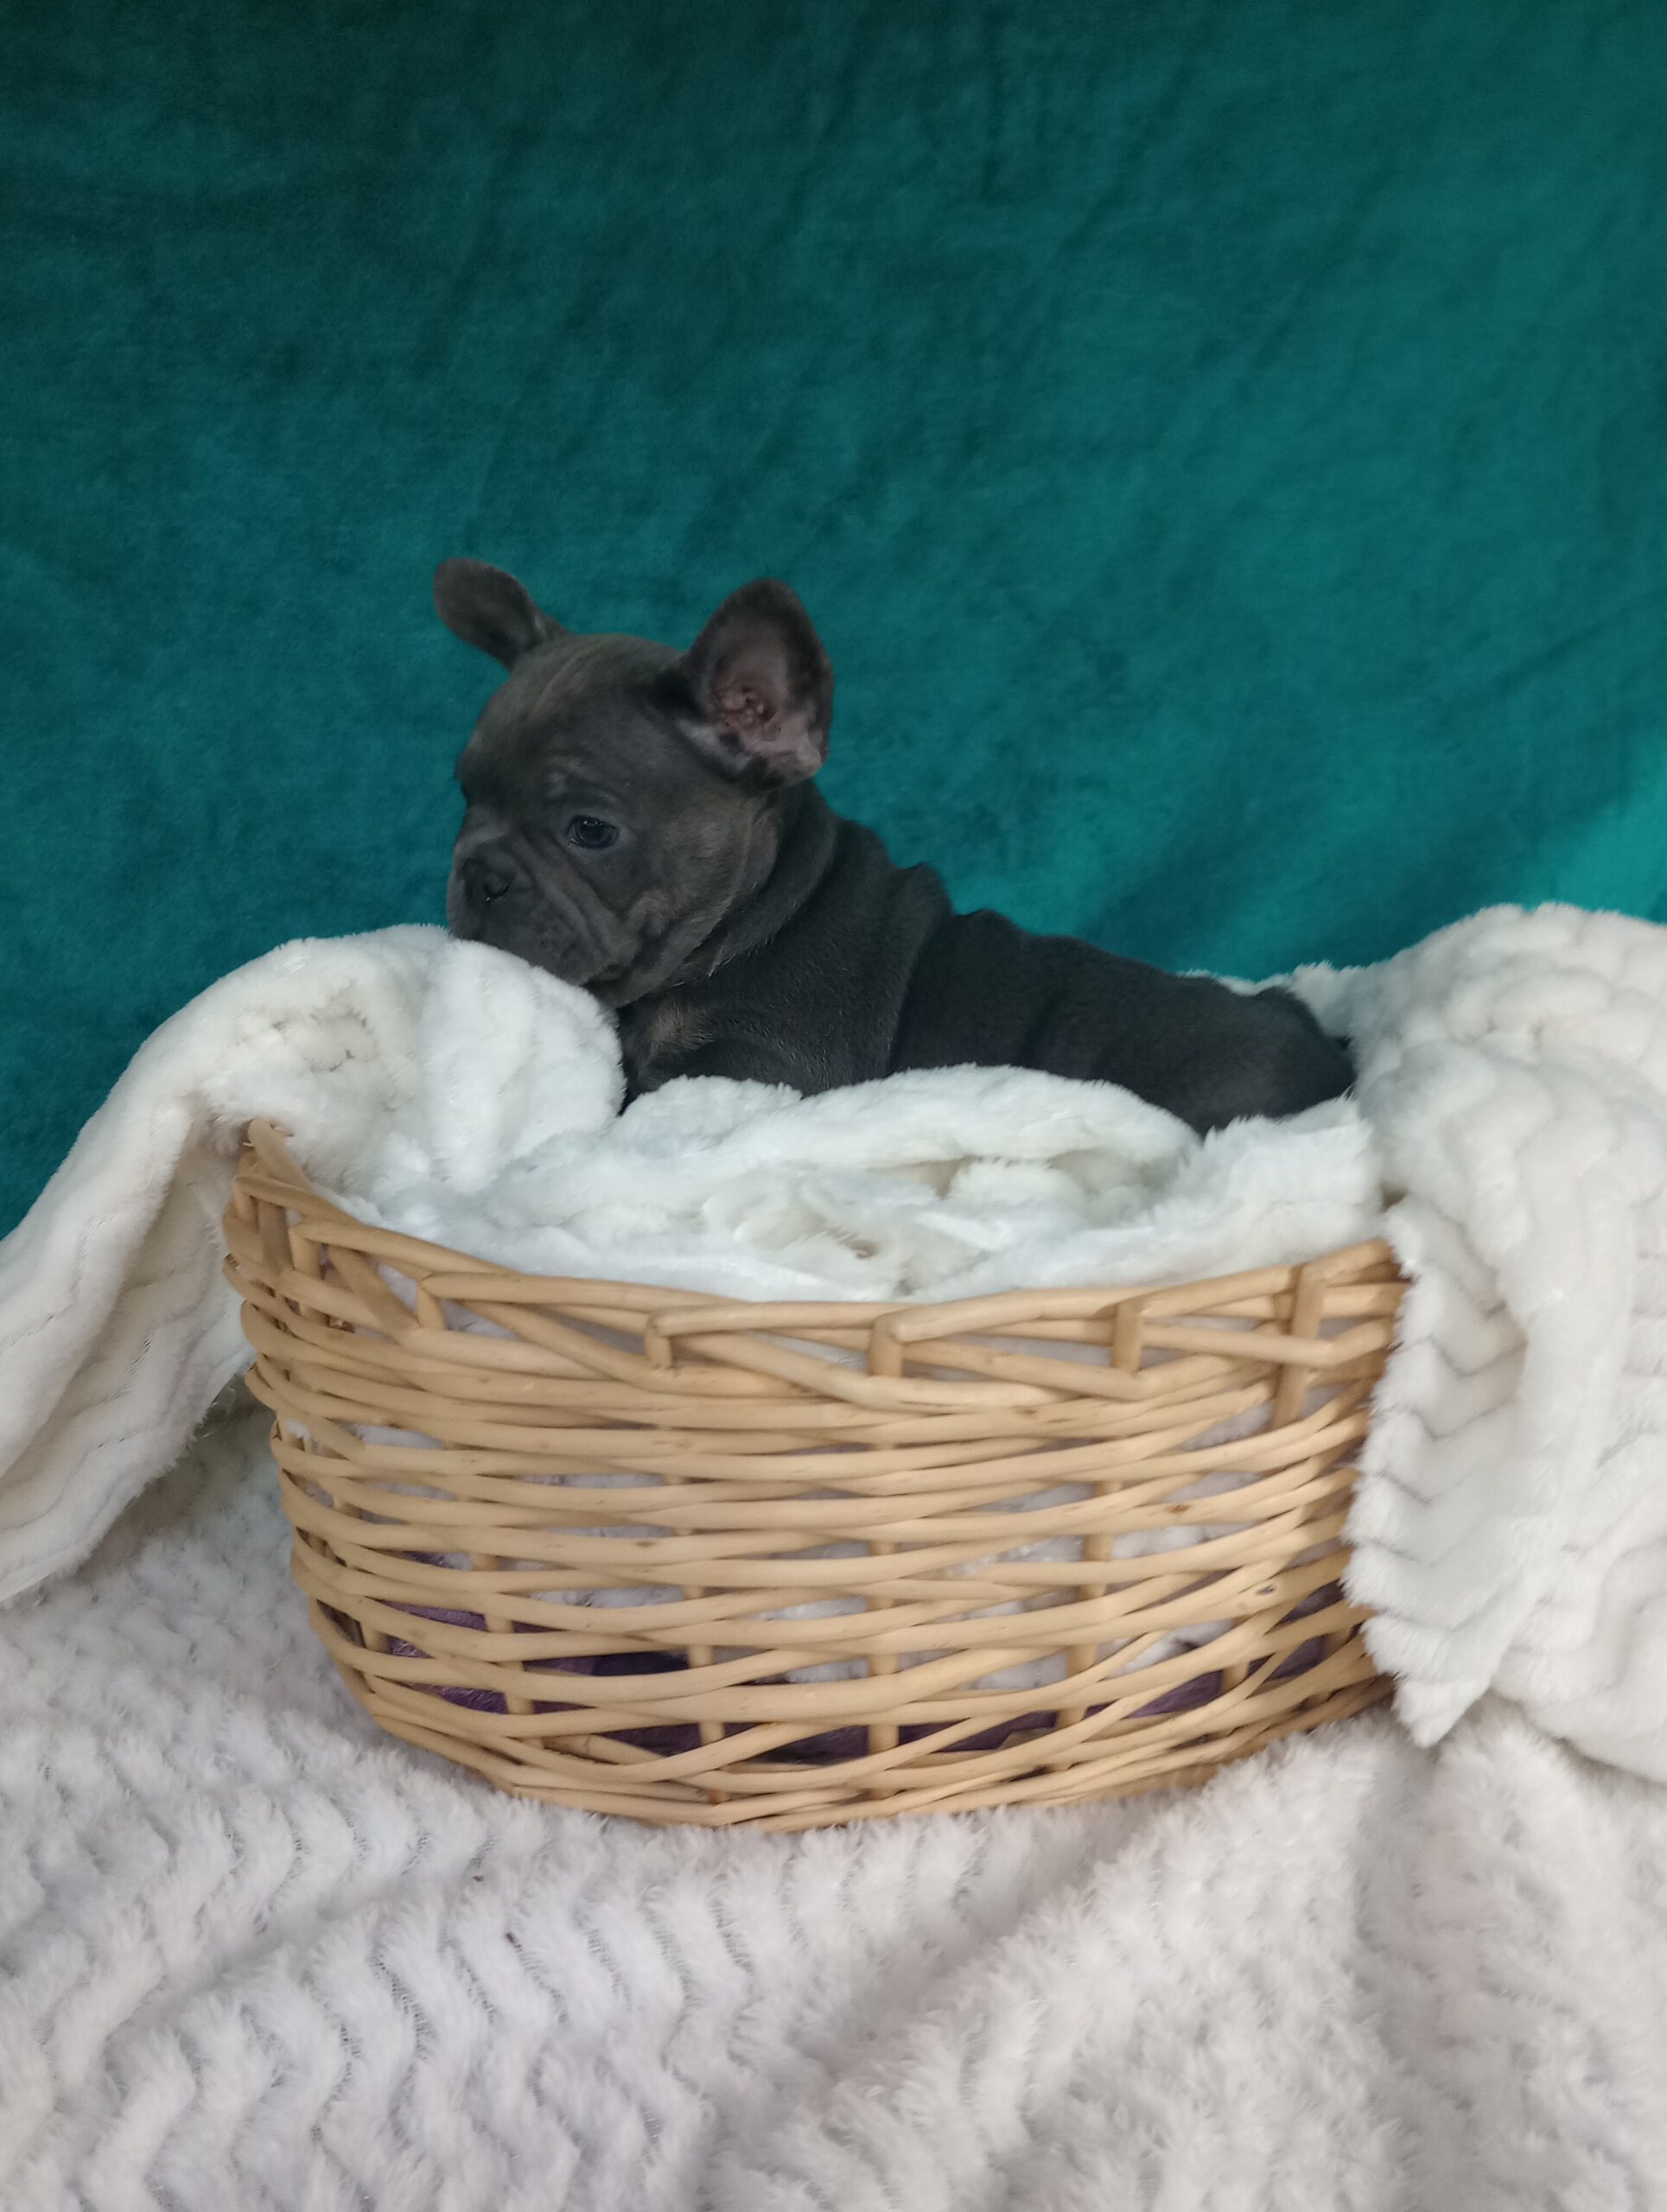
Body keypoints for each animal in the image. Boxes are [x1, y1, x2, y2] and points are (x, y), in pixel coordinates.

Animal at [436, 560, 1353, 1132]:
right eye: (466, 796)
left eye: (589, 831)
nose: (478, 875)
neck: (757, 921)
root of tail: (1333, 1063)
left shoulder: (753, 1070)